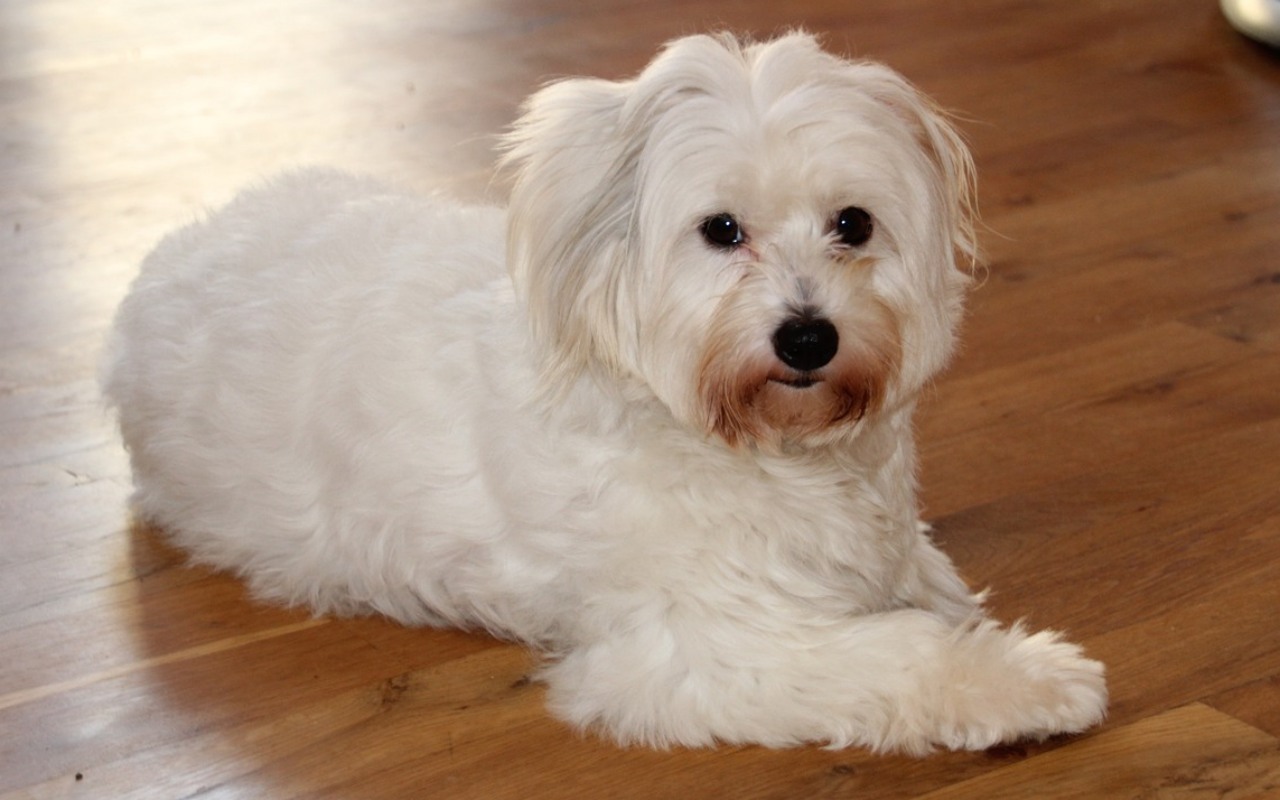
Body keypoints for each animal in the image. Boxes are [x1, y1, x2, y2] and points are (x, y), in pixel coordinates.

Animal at [102, 31, 1100, 752]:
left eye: (853, 223)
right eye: (720, 229)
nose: (809, 337)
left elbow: (925, 585)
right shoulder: (704, 648)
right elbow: (898, 655)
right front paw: (1030, 680)